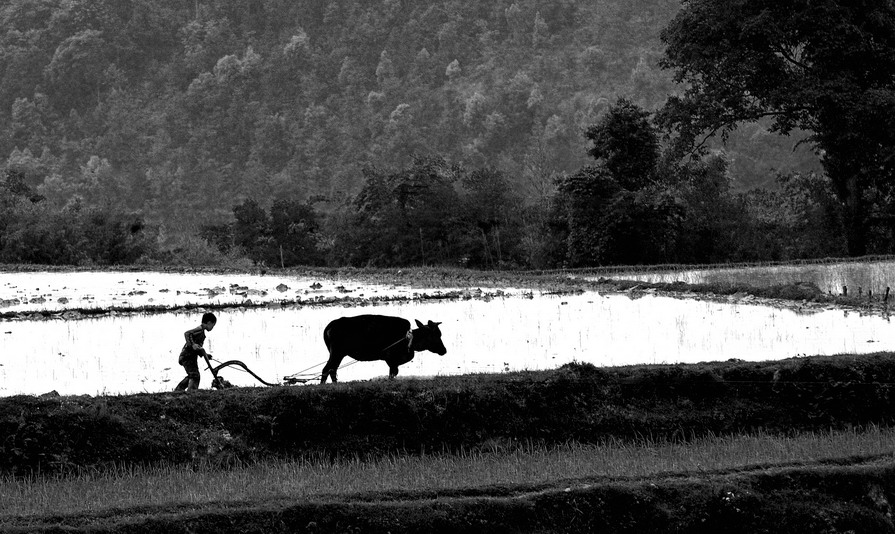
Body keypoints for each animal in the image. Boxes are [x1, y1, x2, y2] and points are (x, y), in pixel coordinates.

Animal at [320, 314, 448, 386]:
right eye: (436, 335)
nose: (444, 350)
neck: (408, 338)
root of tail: (330, 325)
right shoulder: (390, 359)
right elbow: (392, 373)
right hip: (337, 353)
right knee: (327, 369)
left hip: (338, 354)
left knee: (332, 370)